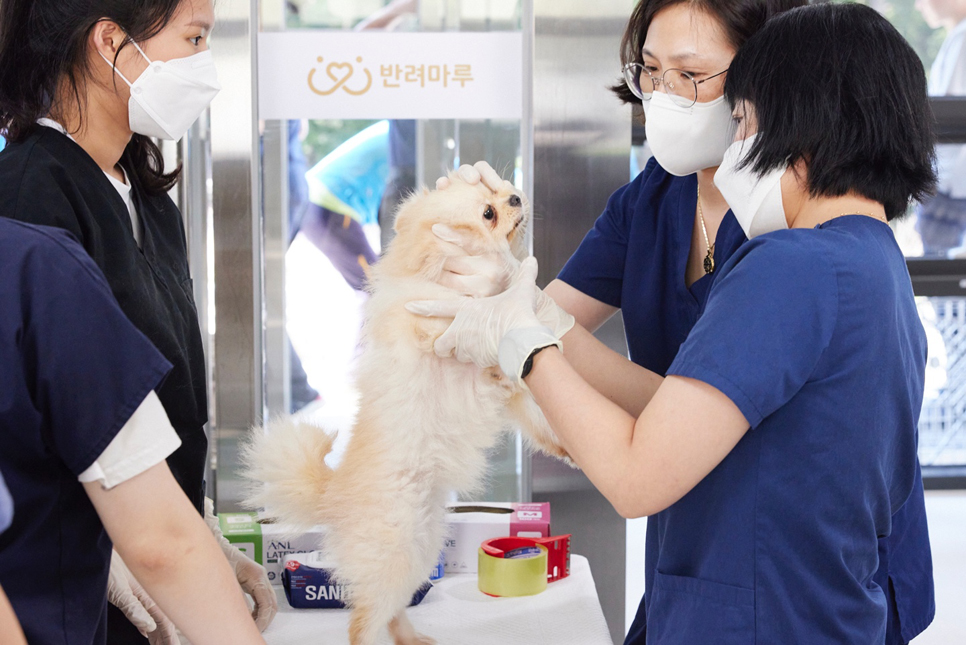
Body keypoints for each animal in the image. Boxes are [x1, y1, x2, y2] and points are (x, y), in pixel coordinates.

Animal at [246, 176, 572, 644]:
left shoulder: (518, 393)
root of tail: (333, 495)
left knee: (392, 612)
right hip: (393, 554)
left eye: (497, 189)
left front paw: (566, 447)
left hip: (421, 549)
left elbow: (539, 416)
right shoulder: (431, 330)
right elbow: (448, 334)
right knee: (362, 620)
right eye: (488, 213)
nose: (515, 194)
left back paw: (413, 638)